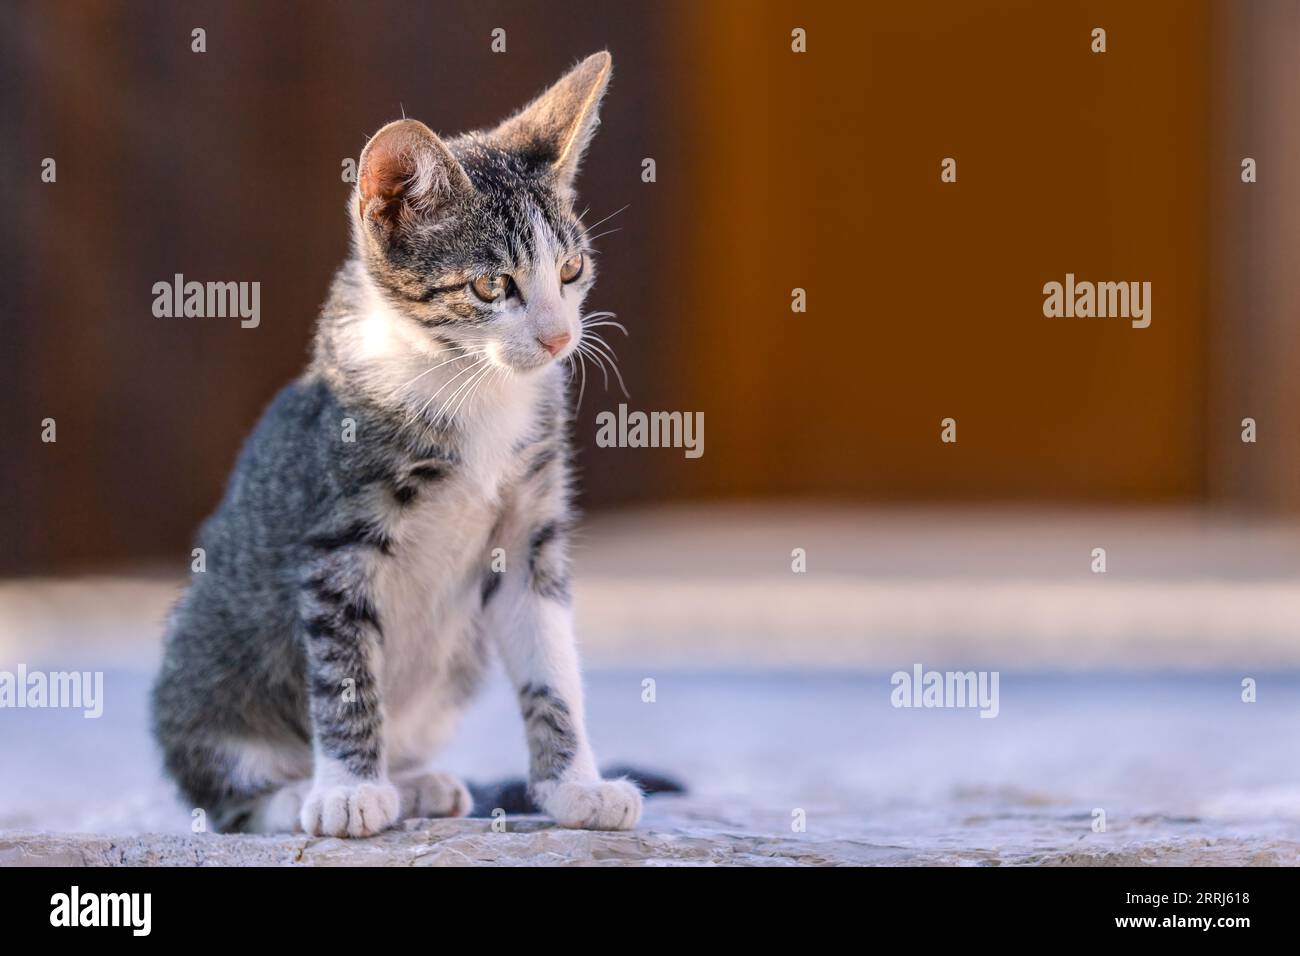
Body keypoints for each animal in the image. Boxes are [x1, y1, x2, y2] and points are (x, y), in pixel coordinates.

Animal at [149, 54, 647, 837]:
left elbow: (553, 669)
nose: (559, 337)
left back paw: (416, 784)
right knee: (221, 787)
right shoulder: (334, 542)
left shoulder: (528, 535)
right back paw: (295, 794)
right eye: (491, 285)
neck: (473, 385)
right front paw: (348, 791)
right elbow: (344, 671)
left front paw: (576, 788)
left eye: (570, 271)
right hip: (205, 656)